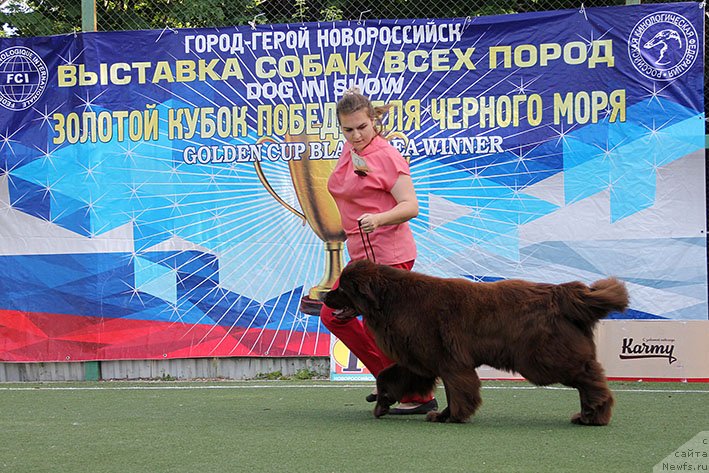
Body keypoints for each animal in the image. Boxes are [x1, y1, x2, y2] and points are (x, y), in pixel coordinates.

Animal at [324, 258, 628, 424]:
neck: (392, 299)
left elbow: (458, 390)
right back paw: (590, 415)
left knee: (590, 377)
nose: (325, 296)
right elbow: (388, 376)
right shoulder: (419, 359)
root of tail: (562, 293)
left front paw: (451, 417)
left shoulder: (449, 361)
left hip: (543, 358)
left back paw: (595, 414)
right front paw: (383, 402)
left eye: (343, 288)